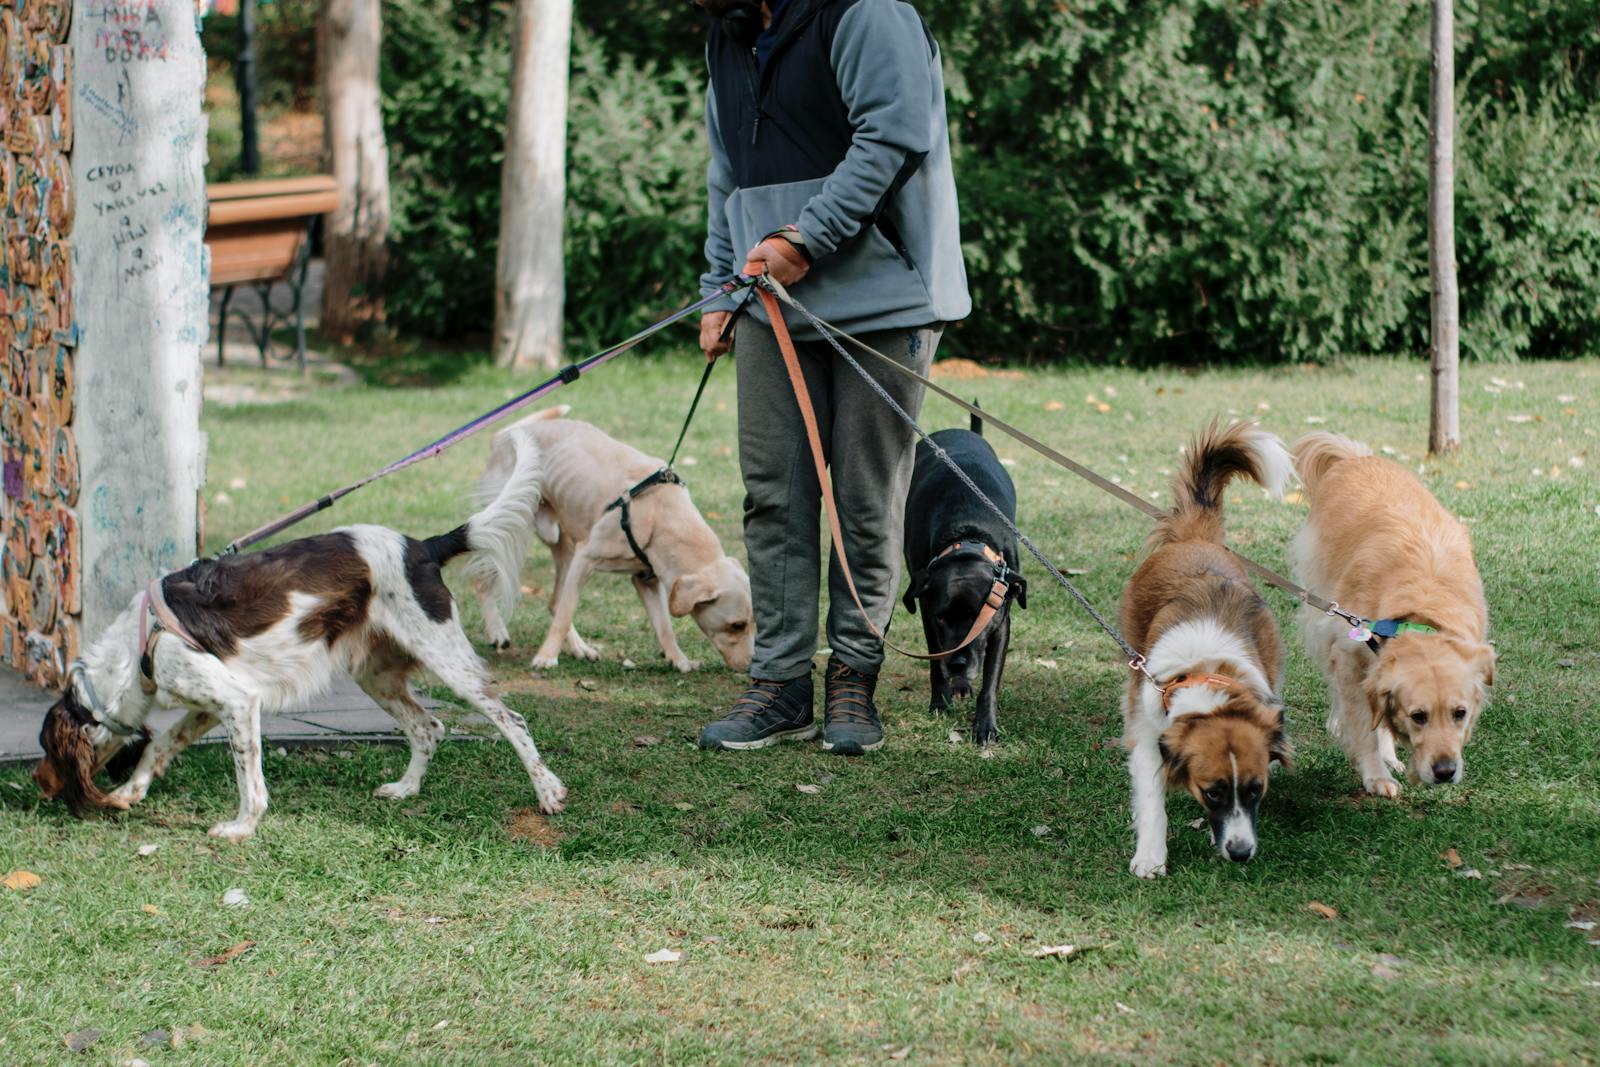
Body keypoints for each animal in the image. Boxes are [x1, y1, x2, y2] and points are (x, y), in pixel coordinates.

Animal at [31, 428, 569, 838]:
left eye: (46, 749)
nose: (37, 781)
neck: (138, 649)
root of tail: (422, 546)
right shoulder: (209, 704)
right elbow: (159, 746)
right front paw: (128, 793)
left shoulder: (237, 701)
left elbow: (247, 778)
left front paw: (241, 827)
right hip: (376, 675)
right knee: (428, 727)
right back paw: (406, 789)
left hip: (446, 660)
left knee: (512, 720)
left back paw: (548, 792)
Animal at [467, 404, 755, 671]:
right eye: (736, 625)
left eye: (754, 623)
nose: (753, 666)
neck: (663, 515)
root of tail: (505, 436)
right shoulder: (585, 558)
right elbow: (565, 614)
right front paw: (546, 657)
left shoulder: (647, 580)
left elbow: (664, 627)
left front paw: (680, 661)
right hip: (508, 531)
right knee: (485, 583)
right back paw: (497, 631)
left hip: (563, 544)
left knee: (554, 602)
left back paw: (579, 648)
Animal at [902, 409, 1024, 742]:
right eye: (943, 618)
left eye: (978, 619)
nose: (957, 665)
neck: (967, 535)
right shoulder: (928, 615)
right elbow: (935, 660)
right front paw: (940, 701)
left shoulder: (1001, 623)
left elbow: (990, 681)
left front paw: (985, 724)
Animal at [1120, 422, 1292, 883]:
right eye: (1212, 793)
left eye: (1255, 790)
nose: (1241, 853)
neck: (1206, 672)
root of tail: (1195, 538)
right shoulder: (1148, 730)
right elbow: (1151, 795)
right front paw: (1151, 853)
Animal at [1286, 428, 1497, 796]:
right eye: (1418, 716)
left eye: (1460, 713)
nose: (1446, 771)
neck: (1422, 616)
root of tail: (1356, 457)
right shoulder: (1349, 653)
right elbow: (1363, 724)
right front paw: (1375, 774)